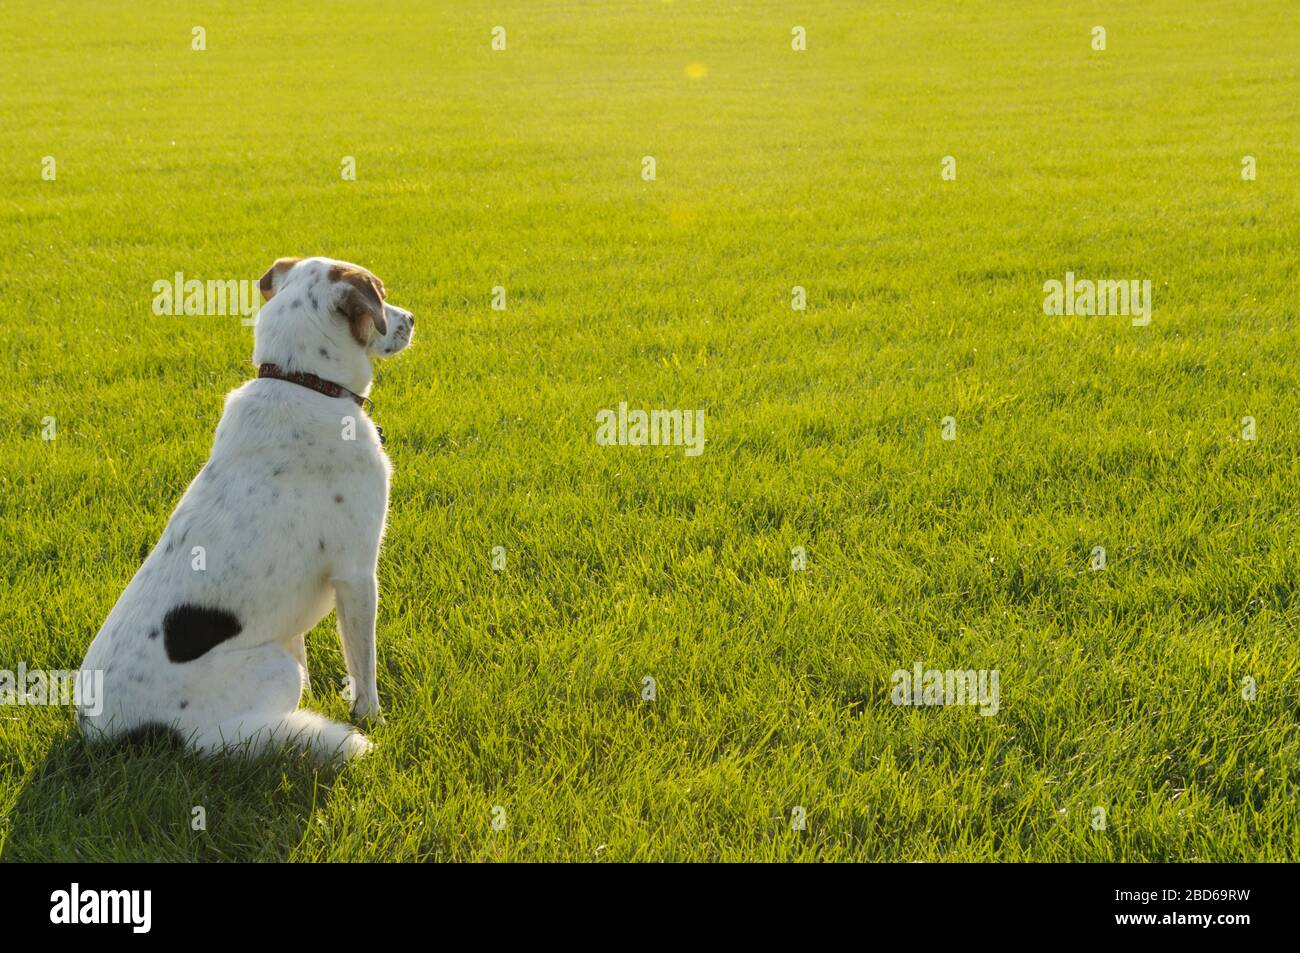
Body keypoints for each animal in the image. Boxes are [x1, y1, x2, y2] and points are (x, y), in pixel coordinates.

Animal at [78, 254, 413, 759]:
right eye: (380, 296)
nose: (411, 319)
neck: (304, 382)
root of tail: (106, 732)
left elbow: (303, 647)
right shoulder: (356, 574)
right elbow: (363, 664)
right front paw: (370, 717)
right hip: (267, 670)